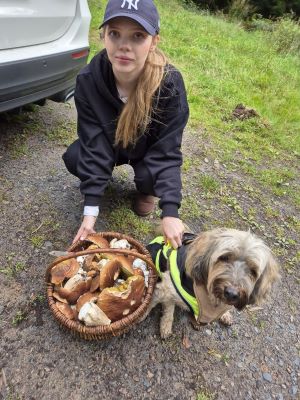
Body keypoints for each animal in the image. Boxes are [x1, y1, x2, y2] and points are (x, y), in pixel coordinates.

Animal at [144, 228, 280, 338]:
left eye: (253, 270)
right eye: (224, 257)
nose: (231, 293)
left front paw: (224, 315)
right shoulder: (166, 289)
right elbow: (166, 309)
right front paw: (162, 324)